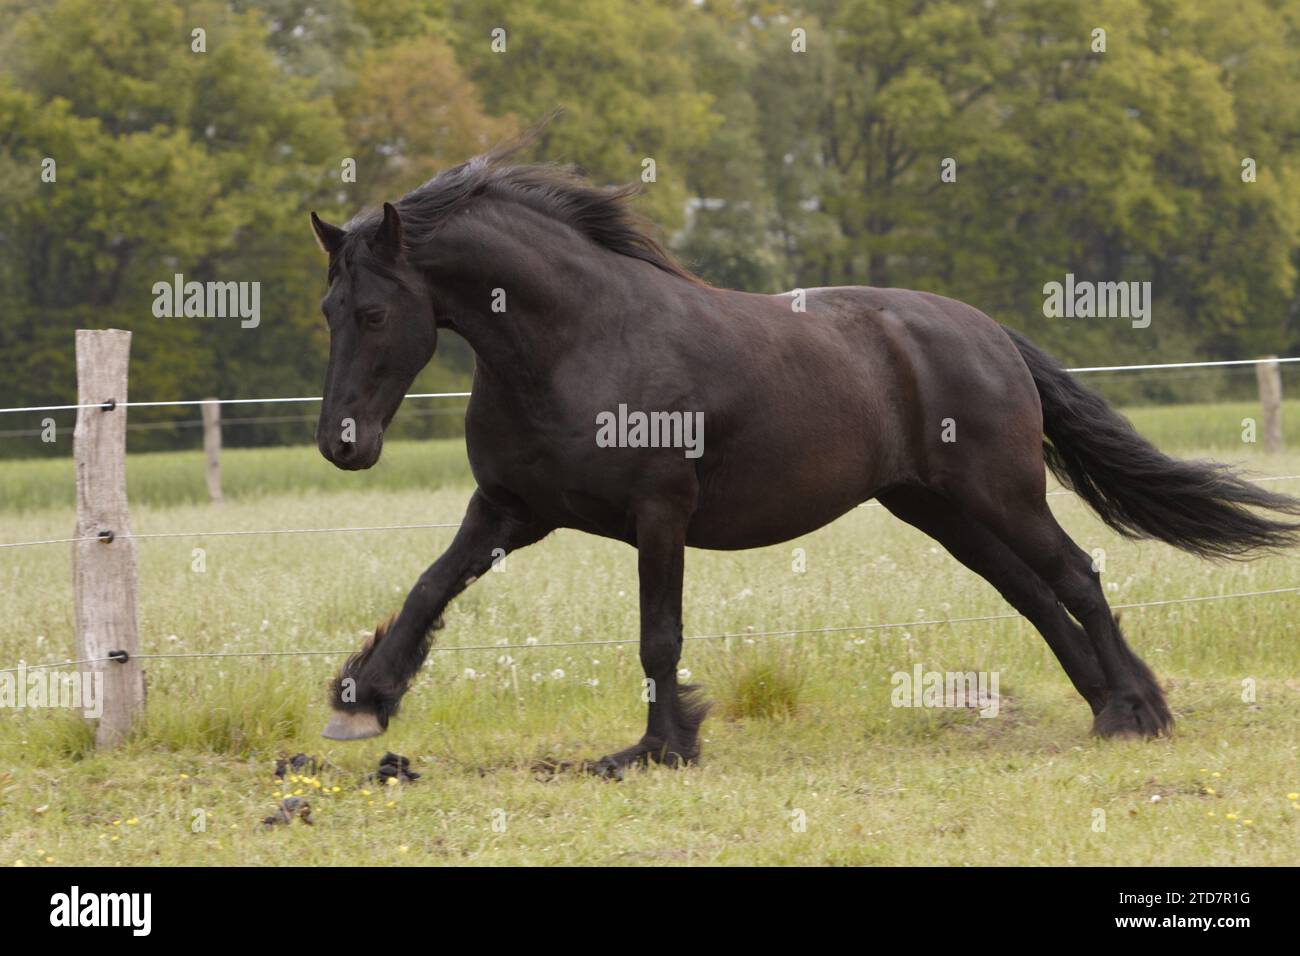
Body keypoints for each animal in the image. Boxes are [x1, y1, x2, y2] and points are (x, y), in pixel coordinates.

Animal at [308, 129, 1300, 776]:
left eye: (373, 313)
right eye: (326, 311)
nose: (341, 445)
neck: (577, 342)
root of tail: (988, 334)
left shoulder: (658, 515)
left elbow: (658, 636)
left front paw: (661, 748)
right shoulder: (511, 509)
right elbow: (429, 589)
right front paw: (364, 699)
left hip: (1002, 495)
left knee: (1078, 578)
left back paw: (1139, 712)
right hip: (942, 511)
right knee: (1032, 594)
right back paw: (1107, 706)